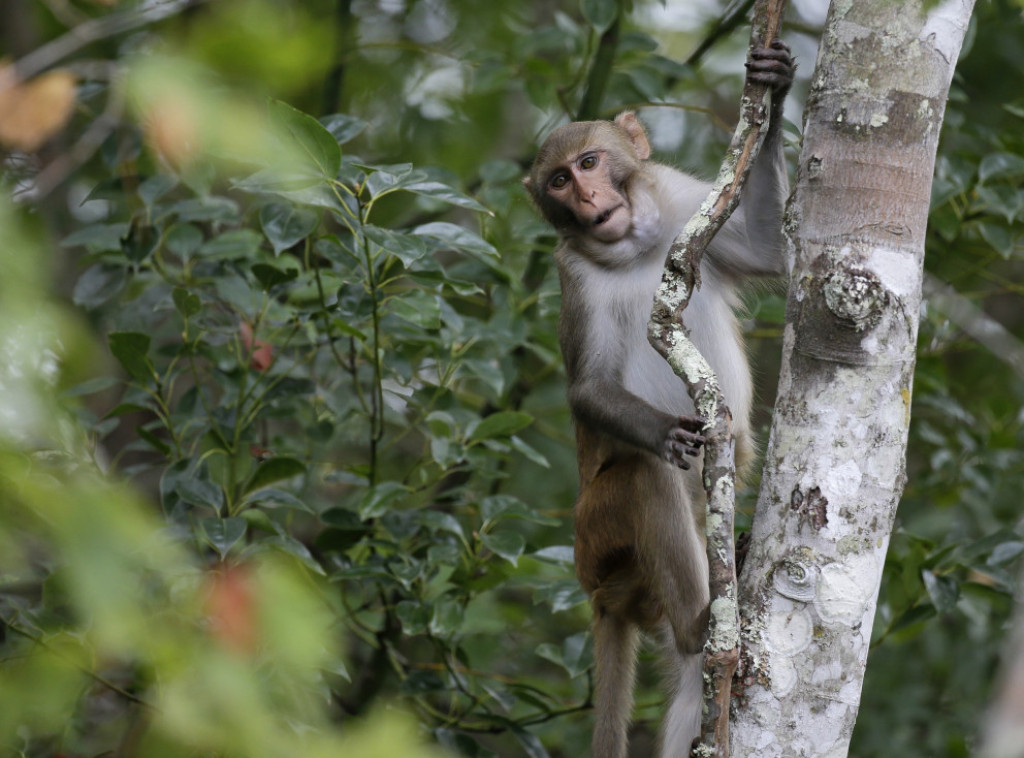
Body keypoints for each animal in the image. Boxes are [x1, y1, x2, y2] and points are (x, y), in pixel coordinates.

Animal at [524, 41, 794, 758]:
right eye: (558, 181)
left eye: (590, 163)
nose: (589, 196)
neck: (633, 245)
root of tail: (602, 594)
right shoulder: (573, 274)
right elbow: (590, 387)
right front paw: (668, 433)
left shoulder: (679, 198)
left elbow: (769, 251)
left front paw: (775, 88)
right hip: (597, 537)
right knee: (645, 478)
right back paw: (700, 623)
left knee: (690, 686)